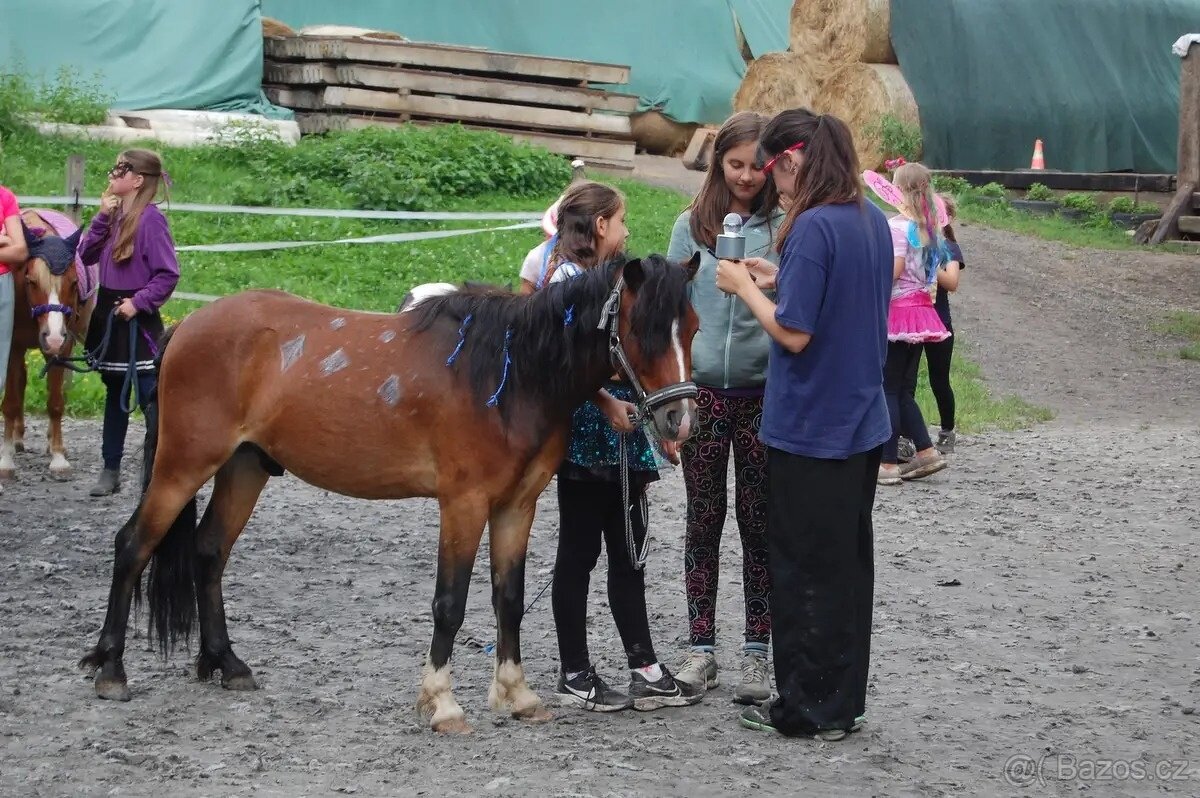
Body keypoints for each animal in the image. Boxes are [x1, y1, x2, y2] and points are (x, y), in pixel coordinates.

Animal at [0, 210, 94, 481]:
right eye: (31, 281)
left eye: (73, 283)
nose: (52, 336)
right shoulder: (13, 346)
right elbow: (11, 402)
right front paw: (6, 460)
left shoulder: (63, 346)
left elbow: (55, 402)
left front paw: (58, 458)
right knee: (20, 381)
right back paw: (17, 439)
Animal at [80, 252, 701, 734]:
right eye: (640, 331)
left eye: (692, 327)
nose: (678, 421)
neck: (508, 372)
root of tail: (187, 326)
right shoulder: (463, 504)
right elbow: (449, 604)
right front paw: (442, 704)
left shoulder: (515, 506)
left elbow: (509, 598)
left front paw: (517, 695)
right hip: (183, 465)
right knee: (132, 546)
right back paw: (110, 669)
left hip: (243, 469)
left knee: (209, 552)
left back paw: (226, 663)